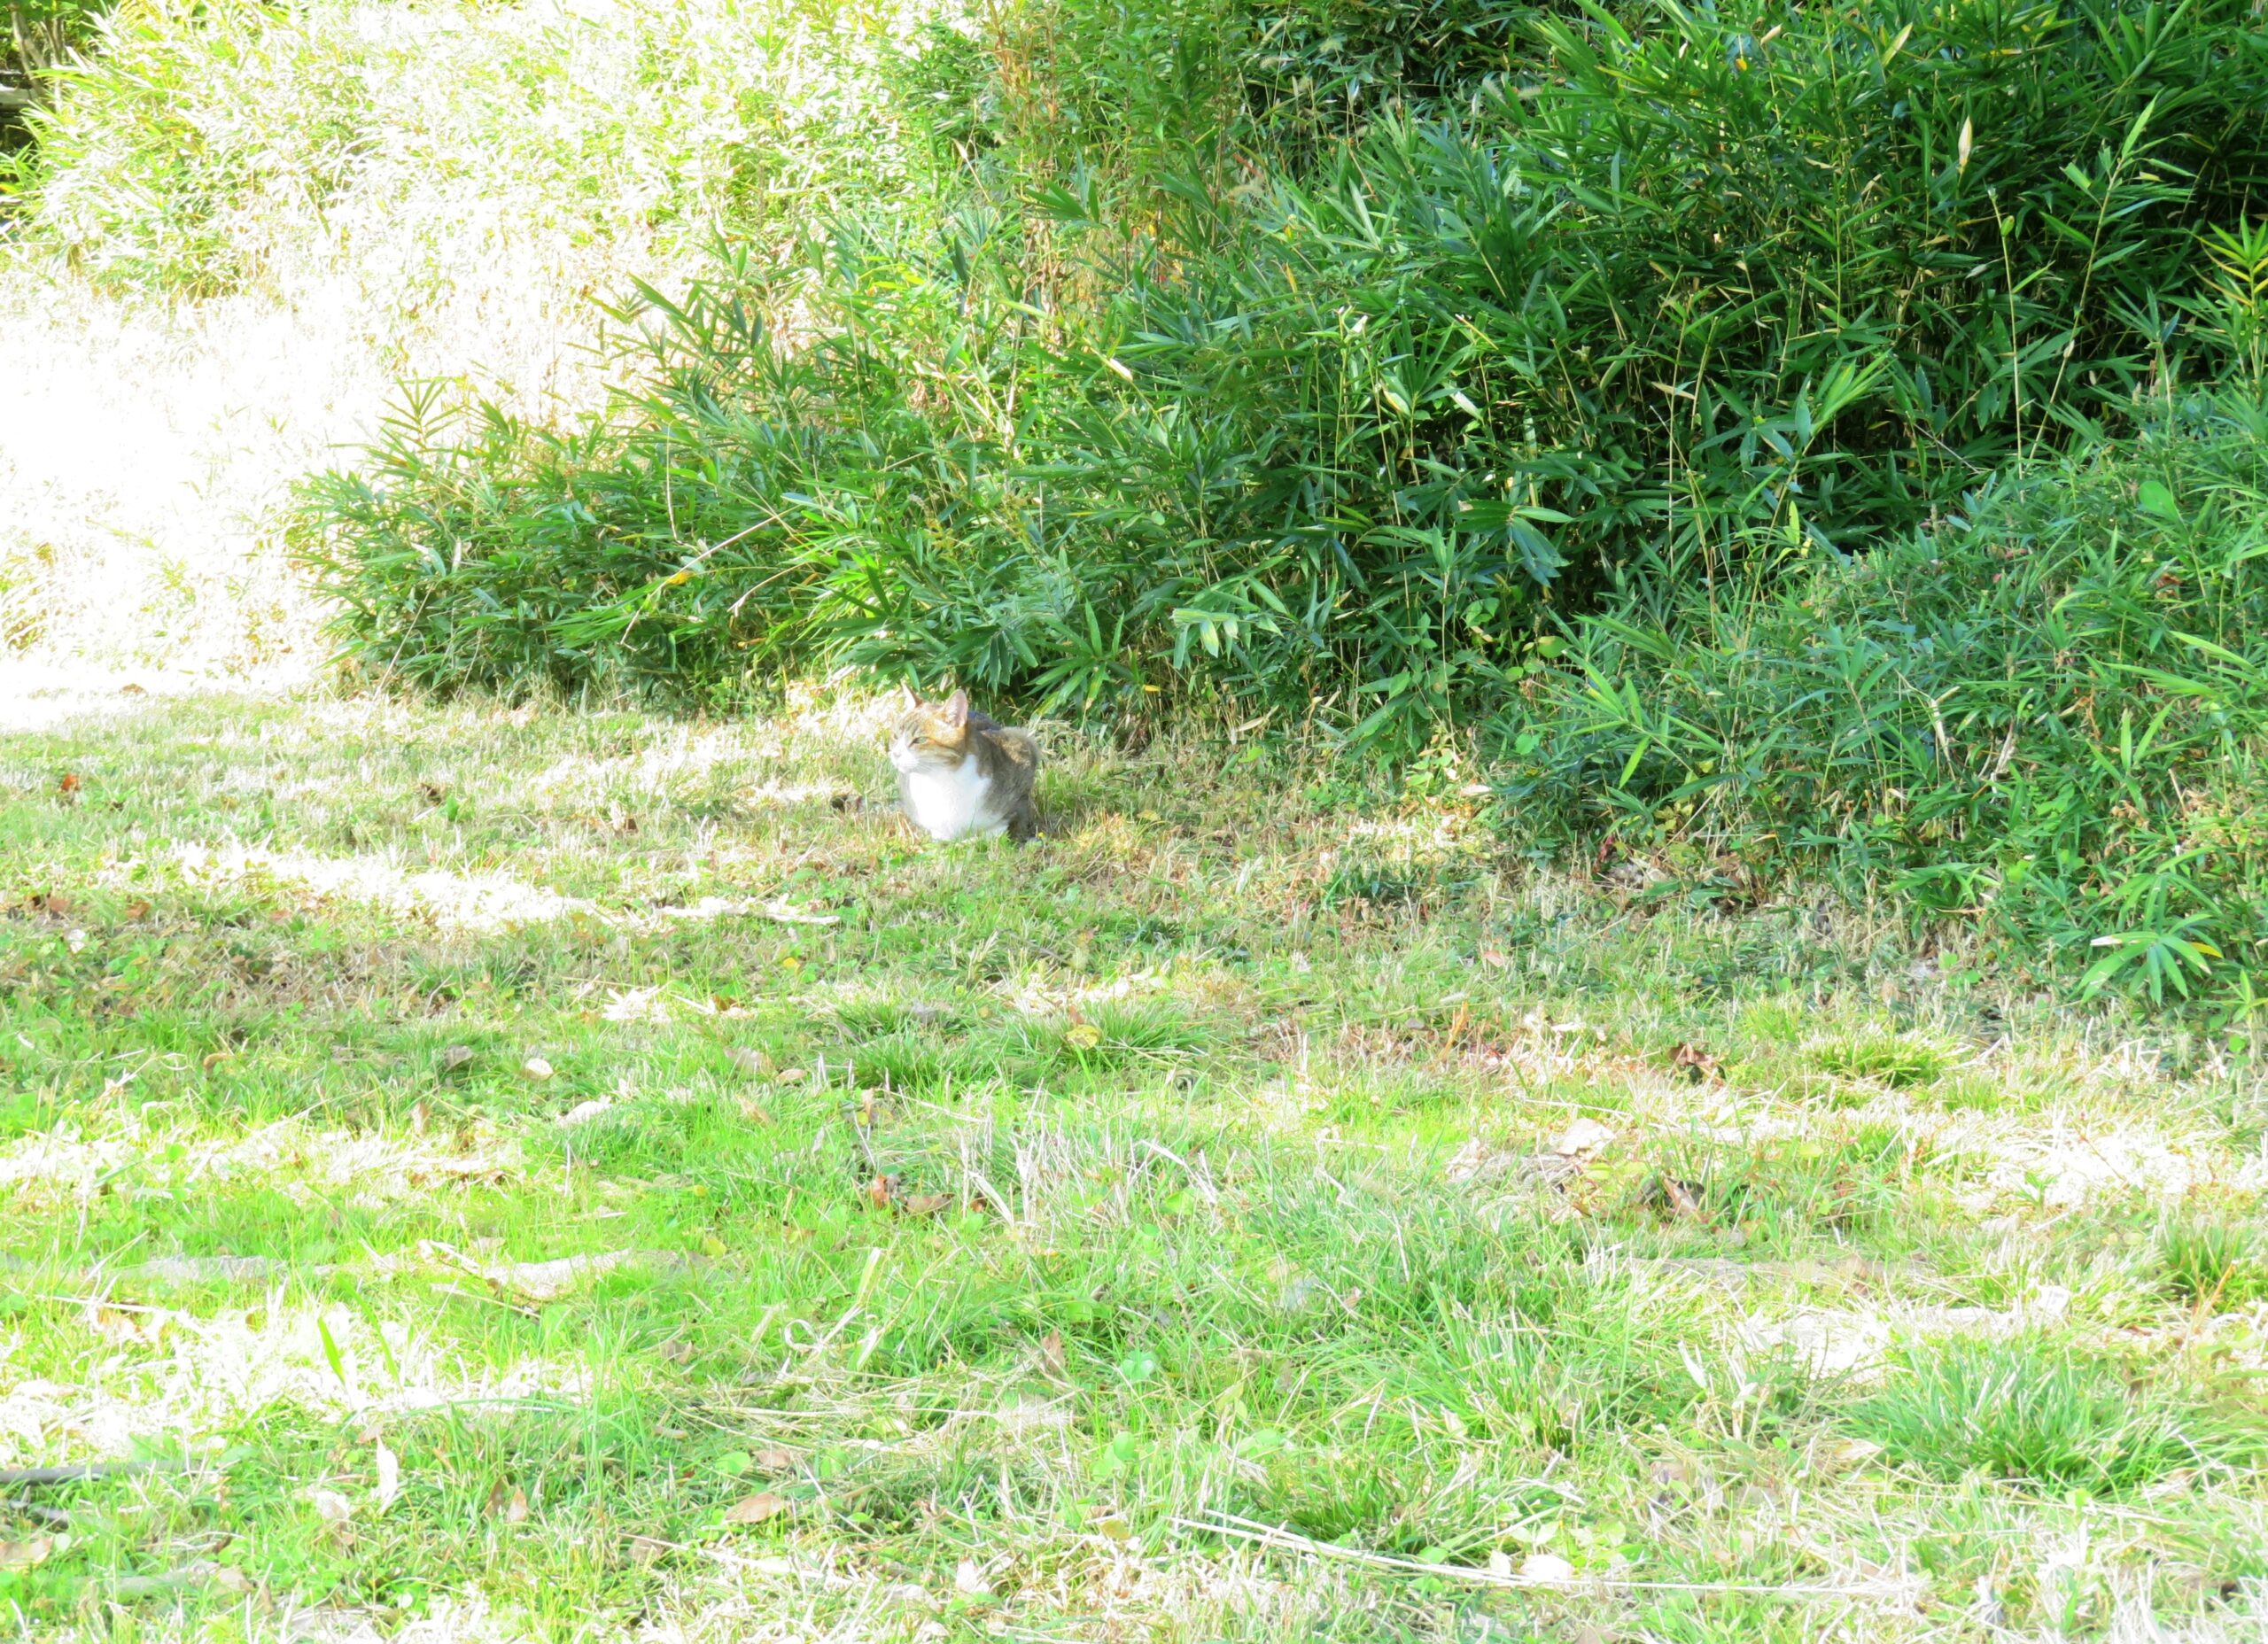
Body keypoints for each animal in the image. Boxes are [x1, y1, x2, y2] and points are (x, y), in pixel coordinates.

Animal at [884, 694, 1043, 848]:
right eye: (895, 736)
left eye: (920, 740)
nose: (895, 754)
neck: (942, 779)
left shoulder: (1021, 751)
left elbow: (1002, 825)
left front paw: (981, 839)